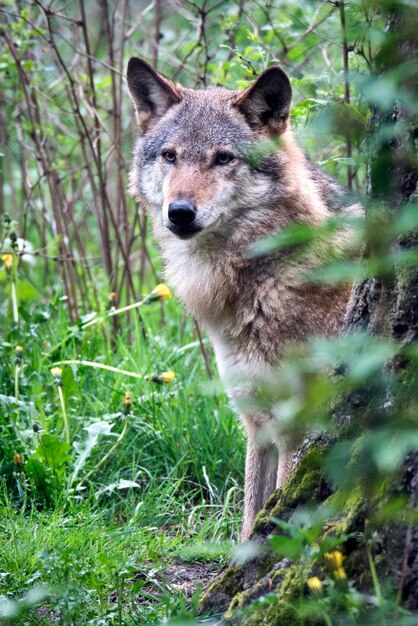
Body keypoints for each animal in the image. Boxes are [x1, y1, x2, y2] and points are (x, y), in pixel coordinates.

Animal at [126, 56, 356, 540]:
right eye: (170, 155)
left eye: (223, 158)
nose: (179, 213)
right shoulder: (256, 420)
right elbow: (252, 519)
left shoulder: (296, 429)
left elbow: (278, 515)